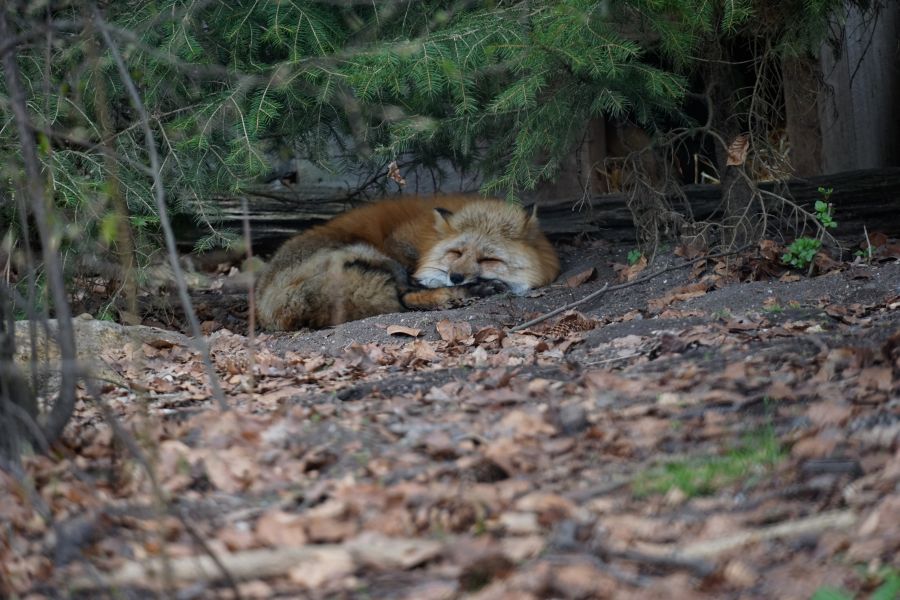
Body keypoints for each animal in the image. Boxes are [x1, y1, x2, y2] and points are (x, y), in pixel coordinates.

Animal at [255, 195, 560, 330]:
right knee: (404, 297)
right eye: (456, 253)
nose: (456, 277)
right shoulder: (398, 244)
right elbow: (412, 291)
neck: (428, 240)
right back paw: (459, 294)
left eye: (488, 259)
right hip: (374, 256)